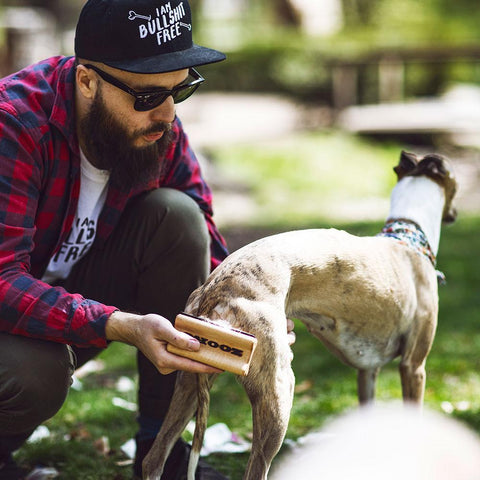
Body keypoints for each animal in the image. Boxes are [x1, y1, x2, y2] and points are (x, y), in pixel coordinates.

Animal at [142, 151, 458, 480]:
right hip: (278, 392)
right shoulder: (414, 366)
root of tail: (215, 290)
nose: (455, 214)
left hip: (189, 379)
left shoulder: (367, 370)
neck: (407, 237)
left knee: (153, 459)